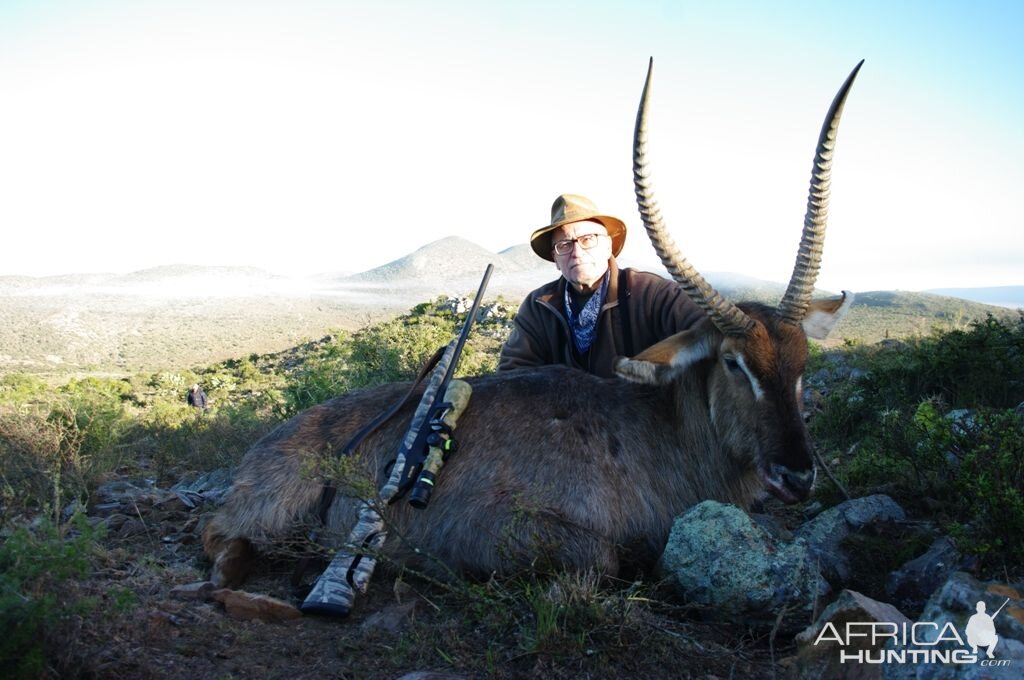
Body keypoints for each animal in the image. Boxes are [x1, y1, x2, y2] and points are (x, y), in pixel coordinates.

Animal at [203, 61, 860, 585]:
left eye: (803, 363)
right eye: (732, 362)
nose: (798, 475)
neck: (660, 430)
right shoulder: (504, 523)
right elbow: (602, 559)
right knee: (217, 536)